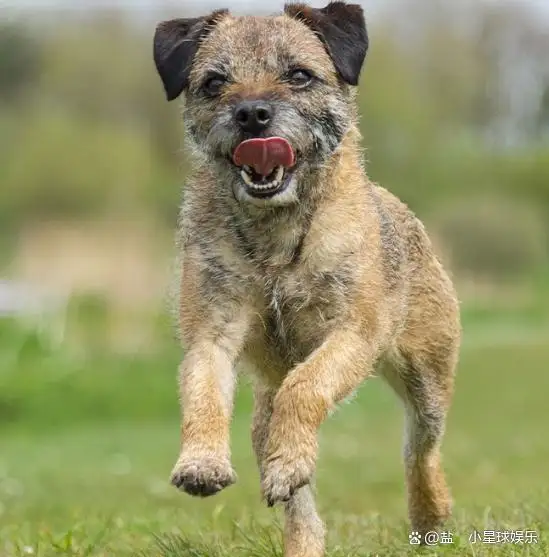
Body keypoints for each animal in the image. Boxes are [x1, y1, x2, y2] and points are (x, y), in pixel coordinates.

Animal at [152, 2, 460, 552]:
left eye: (298, 75)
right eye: (214, 83)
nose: (252, 114)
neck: (276, 230)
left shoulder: (352, 335)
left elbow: (306, 385)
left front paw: (289, 455)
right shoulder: (212, 331)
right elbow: (203, 390)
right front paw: (202, 462)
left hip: (429, 379)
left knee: (419, 448)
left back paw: (428, 513)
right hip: (263, 415)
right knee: (297, 499)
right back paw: (300, 526)